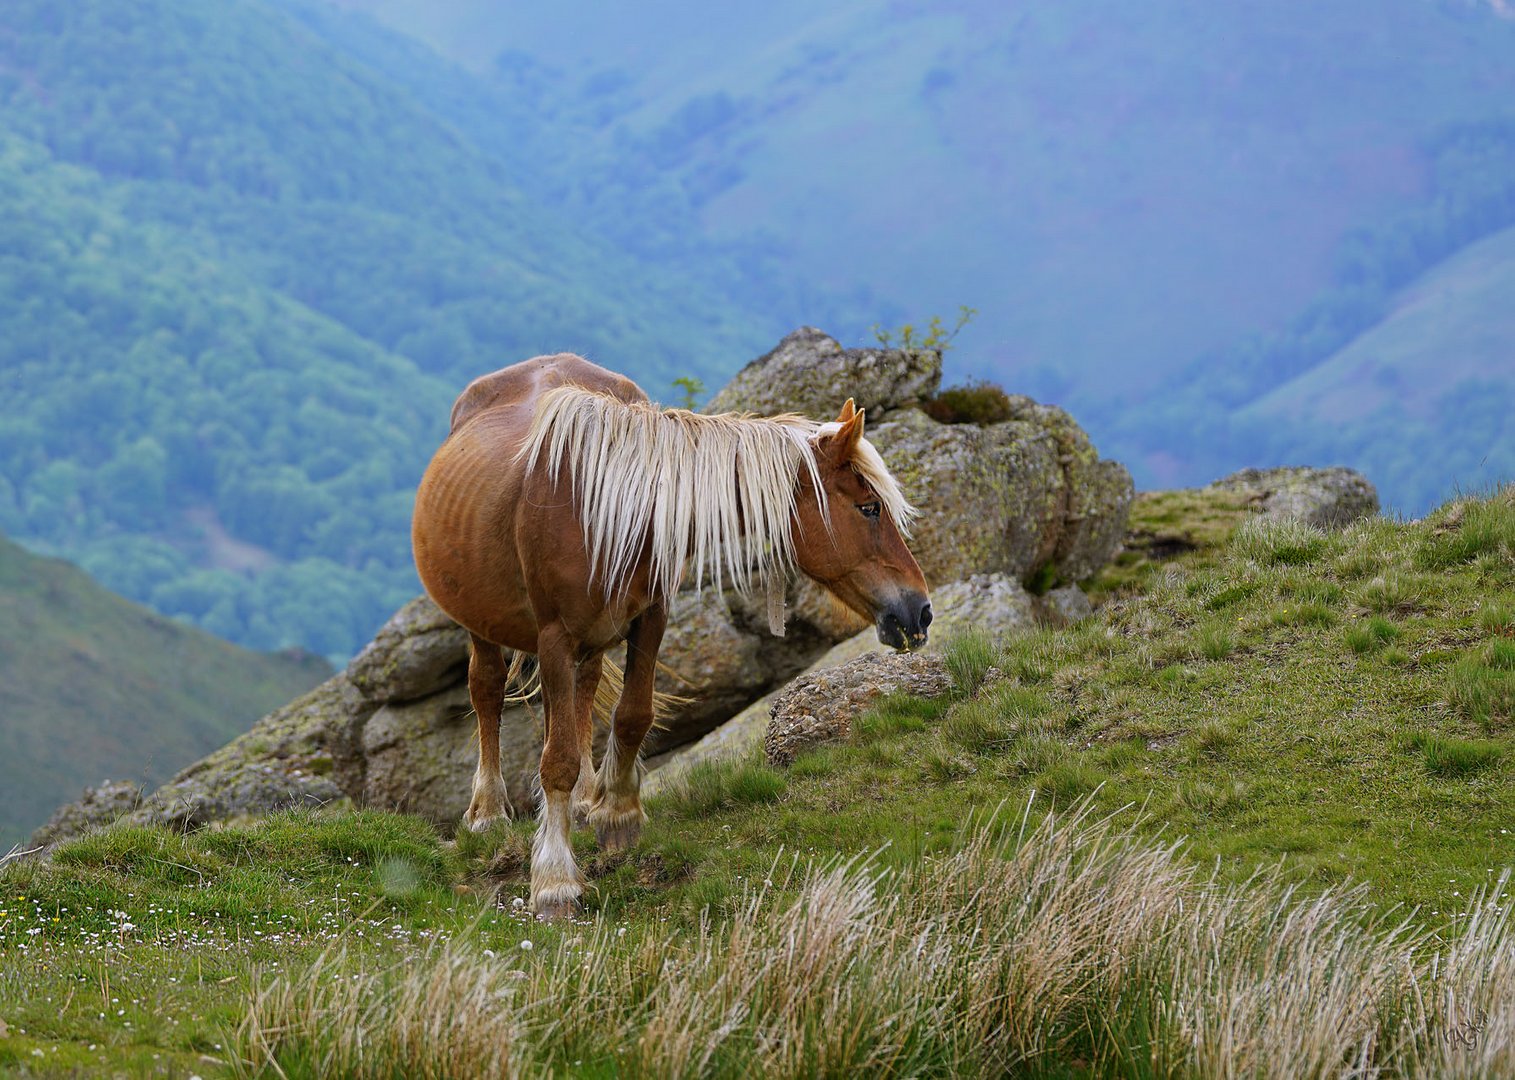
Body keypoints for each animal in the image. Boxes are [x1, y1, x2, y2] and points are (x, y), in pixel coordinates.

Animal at [415, 354, 933, 920]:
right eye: (869, 507)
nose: (920, 611)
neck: (607, 502)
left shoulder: (651, 618)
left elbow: (632, 716)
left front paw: (617, 814)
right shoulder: (553, 637)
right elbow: (556, 760)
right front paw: (555, 880)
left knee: (583, 691)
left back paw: (585, 799)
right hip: (482, 625)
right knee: (486, 690)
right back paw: (487, 811)